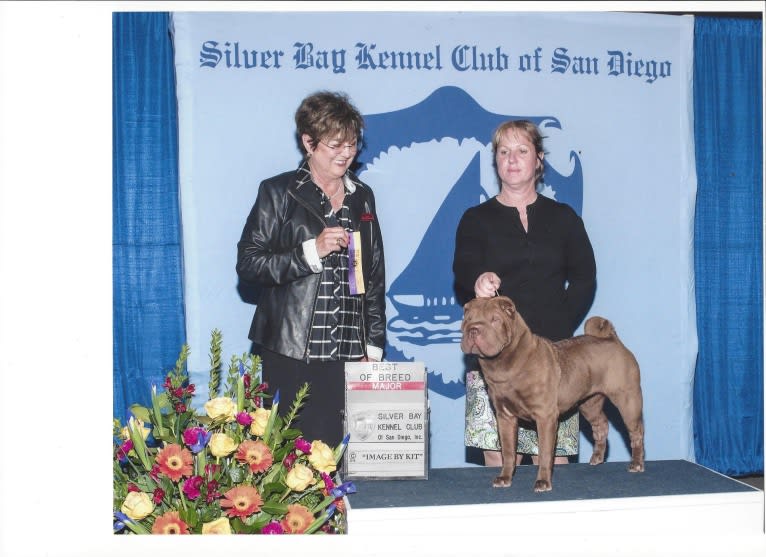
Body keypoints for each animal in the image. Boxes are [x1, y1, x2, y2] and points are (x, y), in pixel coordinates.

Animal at [462, 296, 648, 490]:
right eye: (467, 319)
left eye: (495, 320)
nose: (473, 329)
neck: (505, 365)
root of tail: (613, 339)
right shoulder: (505, 417)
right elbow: (508, 451)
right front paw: (505, 478)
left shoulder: (545, 416)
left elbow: (544, 452)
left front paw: (543, 482)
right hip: (589, 404)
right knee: (601, 425)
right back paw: (597, 458)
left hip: (628, 400)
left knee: (636, 432)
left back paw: (636, 464)